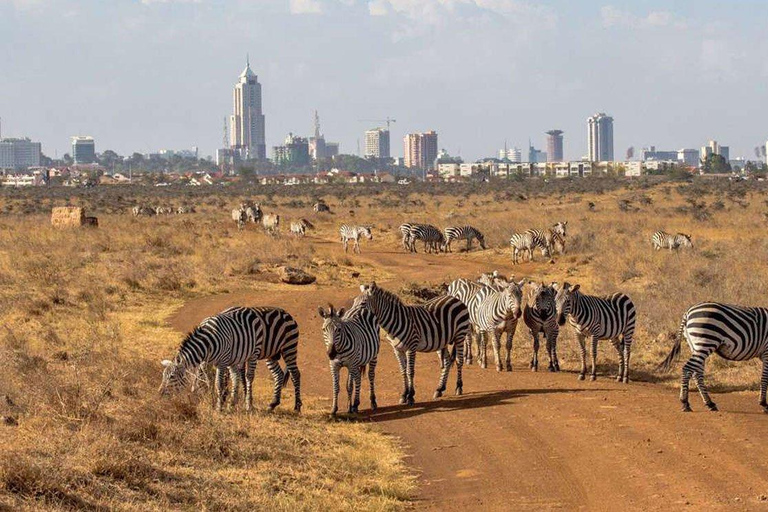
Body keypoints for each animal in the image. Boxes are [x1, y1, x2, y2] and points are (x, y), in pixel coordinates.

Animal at [160, 308, 304, 412]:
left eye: (172, 376)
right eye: (163, 375)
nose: (160, 394)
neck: (207, 343)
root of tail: (287, 314)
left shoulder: (222, 362)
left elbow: (218, 383)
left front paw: (219, 405)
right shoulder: (207, 361)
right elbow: (207, 379)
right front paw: (212, 398)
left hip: (286, 348)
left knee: (293, 374)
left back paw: (296, 406)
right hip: (270, 355)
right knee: (277, 374)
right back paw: (272, 403)